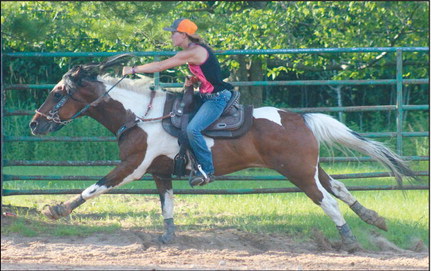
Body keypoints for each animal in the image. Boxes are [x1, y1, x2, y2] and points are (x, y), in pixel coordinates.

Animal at [28, 54, 416, 253]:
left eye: (57, 92)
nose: (34, 124)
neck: (140, 115)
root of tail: (300, 118)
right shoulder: (160, 172)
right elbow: (167, 204)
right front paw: (167, 238)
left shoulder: (133, 166)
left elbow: (97, 186)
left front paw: (57, 209)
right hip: (312, 168)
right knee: (341, 189)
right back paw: (375, 219)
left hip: (299, 173)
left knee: (328, 201)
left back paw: (349, 241)